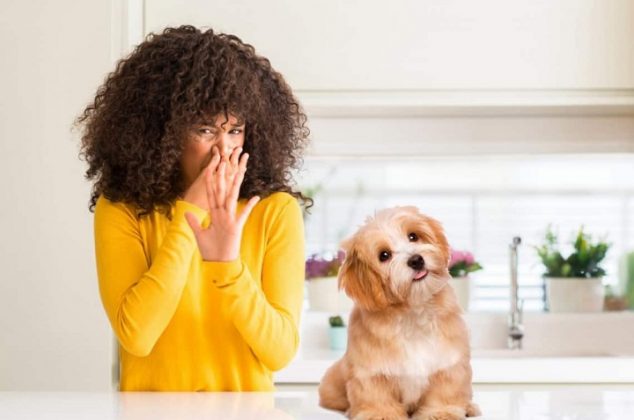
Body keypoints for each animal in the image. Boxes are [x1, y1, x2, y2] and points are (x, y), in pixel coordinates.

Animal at [318, 207, 476, 420]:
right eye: (384, 255)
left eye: (413, 236)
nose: (416, 260)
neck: (413, 312)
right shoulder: (370, 372)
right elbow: (375, 394)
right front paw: (381, 414)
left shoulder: (448, 364)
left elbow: (444, 391)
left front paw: (440, 412)